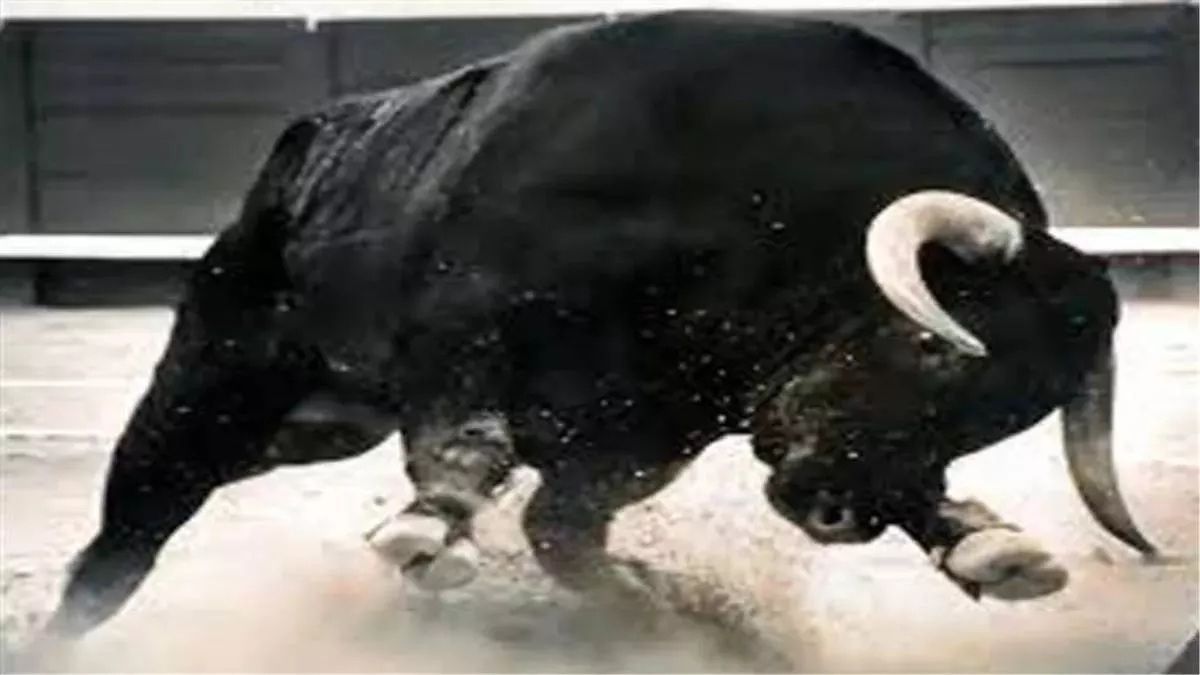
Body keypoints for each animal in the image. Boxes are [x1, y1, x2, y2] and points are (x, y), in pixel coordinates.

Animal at [41, 11, 1156, 642]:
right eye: (931, 346)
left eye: (1002, 420)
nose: (841, 513)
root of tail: (312, 138)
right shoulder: (462, 328)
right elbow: (467, 447)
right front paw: (431, 528)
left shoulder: (641, 438)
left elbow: (562, 534)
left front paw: (984, 545)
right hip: (214, 391)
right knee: (125, 536)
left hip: (320, 424)